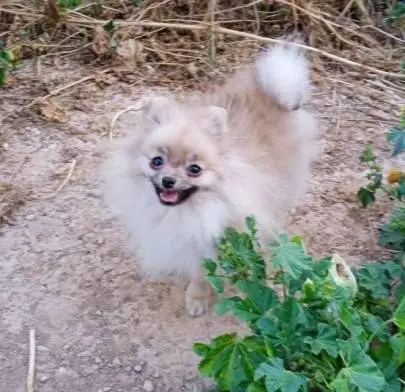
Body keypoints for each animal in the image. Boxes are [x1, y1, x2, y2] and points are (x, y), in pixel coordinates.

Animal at [101, 38, 316, 316]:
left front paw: (198, 297)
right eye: (156, 161)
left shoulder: (217, 238)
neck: (190, 209)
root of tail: (274, 91)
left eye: (194, 169)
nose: (168, 180)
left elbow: (205, 273)